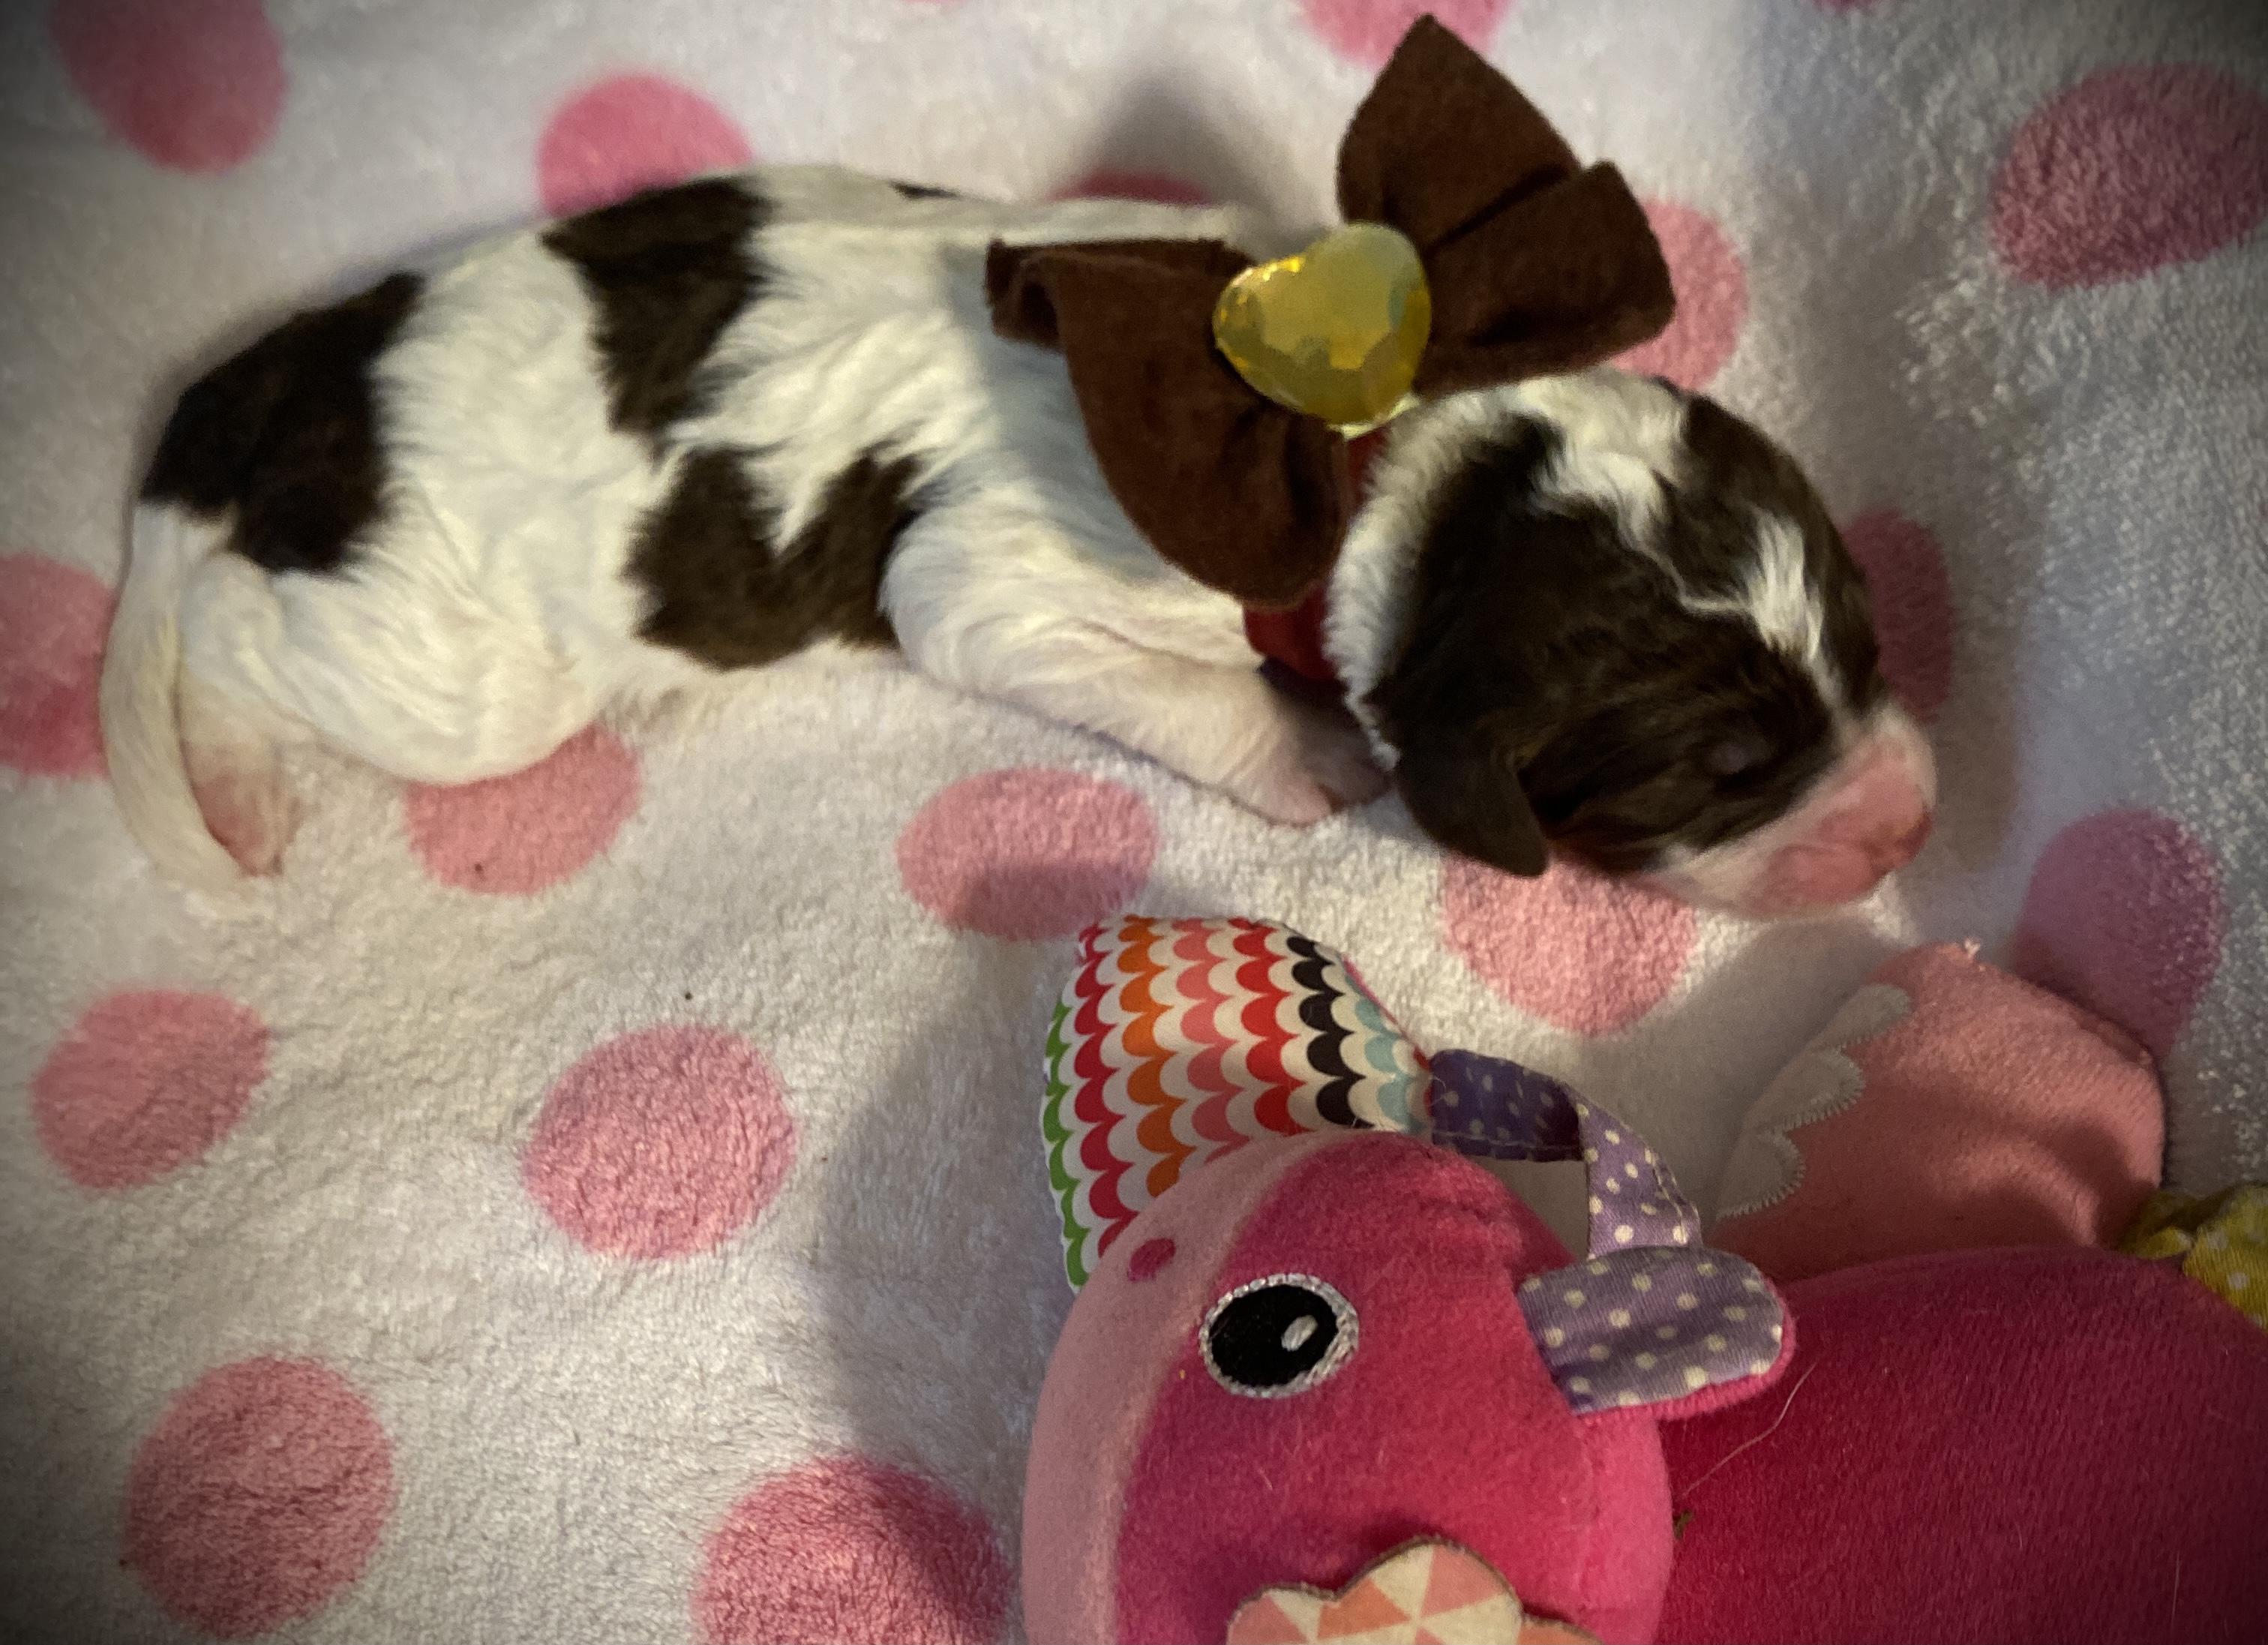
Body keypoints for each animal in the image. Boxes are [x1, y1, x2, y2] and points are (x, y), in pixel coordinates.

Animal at [101, 167, 1933, 916]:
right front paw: (1302, 755)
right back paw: (240, 783)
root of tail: (280, 386)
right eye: (1721, 768)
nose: (1913, 825)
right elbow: (1048, 637)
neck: (1392, 447)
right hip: (448, 668)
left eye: (1868, 641)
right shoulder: (996, 577)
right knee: (235, 636)